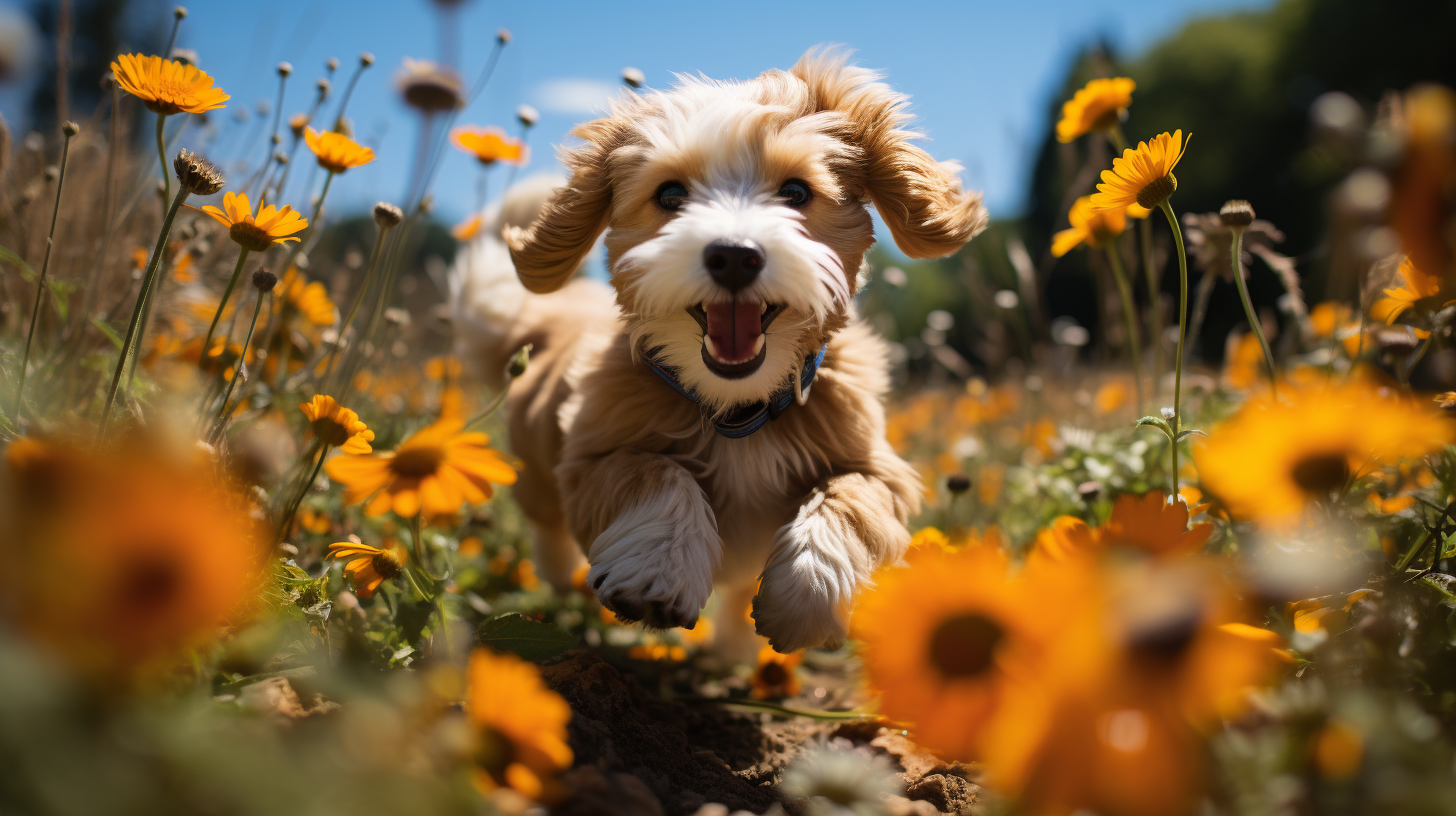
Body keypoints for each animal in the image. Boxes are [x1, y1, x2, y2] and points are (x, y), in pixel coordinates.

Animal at [448, 47, 984, 652]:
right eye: (670, 196)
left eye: (796, 192)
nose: (733, 255)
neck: (736, 409)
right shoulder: (591, 457)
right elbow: (654, 473)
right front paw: (660, 570)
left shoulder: (880, 466)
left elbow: (850, 497)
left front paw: (808, 593)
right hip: (537, 471)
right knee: (548, 530)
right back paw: (566, 585)